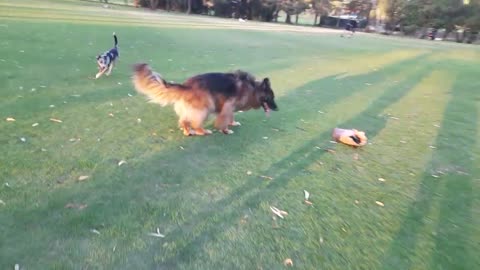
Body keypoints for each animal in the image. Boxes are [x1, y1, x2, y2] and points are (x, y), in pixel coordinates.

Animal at [133, 62, 280, 135]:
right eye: (271, 98)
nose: (277, 109)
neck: (252, 88)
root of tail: (186, 85)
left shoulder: (230, 107)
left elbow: (231, 117)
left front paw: (232, 123)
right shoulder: (228, 106)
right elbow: (225, 120)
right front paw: (226, 130)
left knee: (184, 120)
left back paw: (187, 131)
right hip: (205, 107)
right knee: (195, 123)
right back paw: (202, 131)